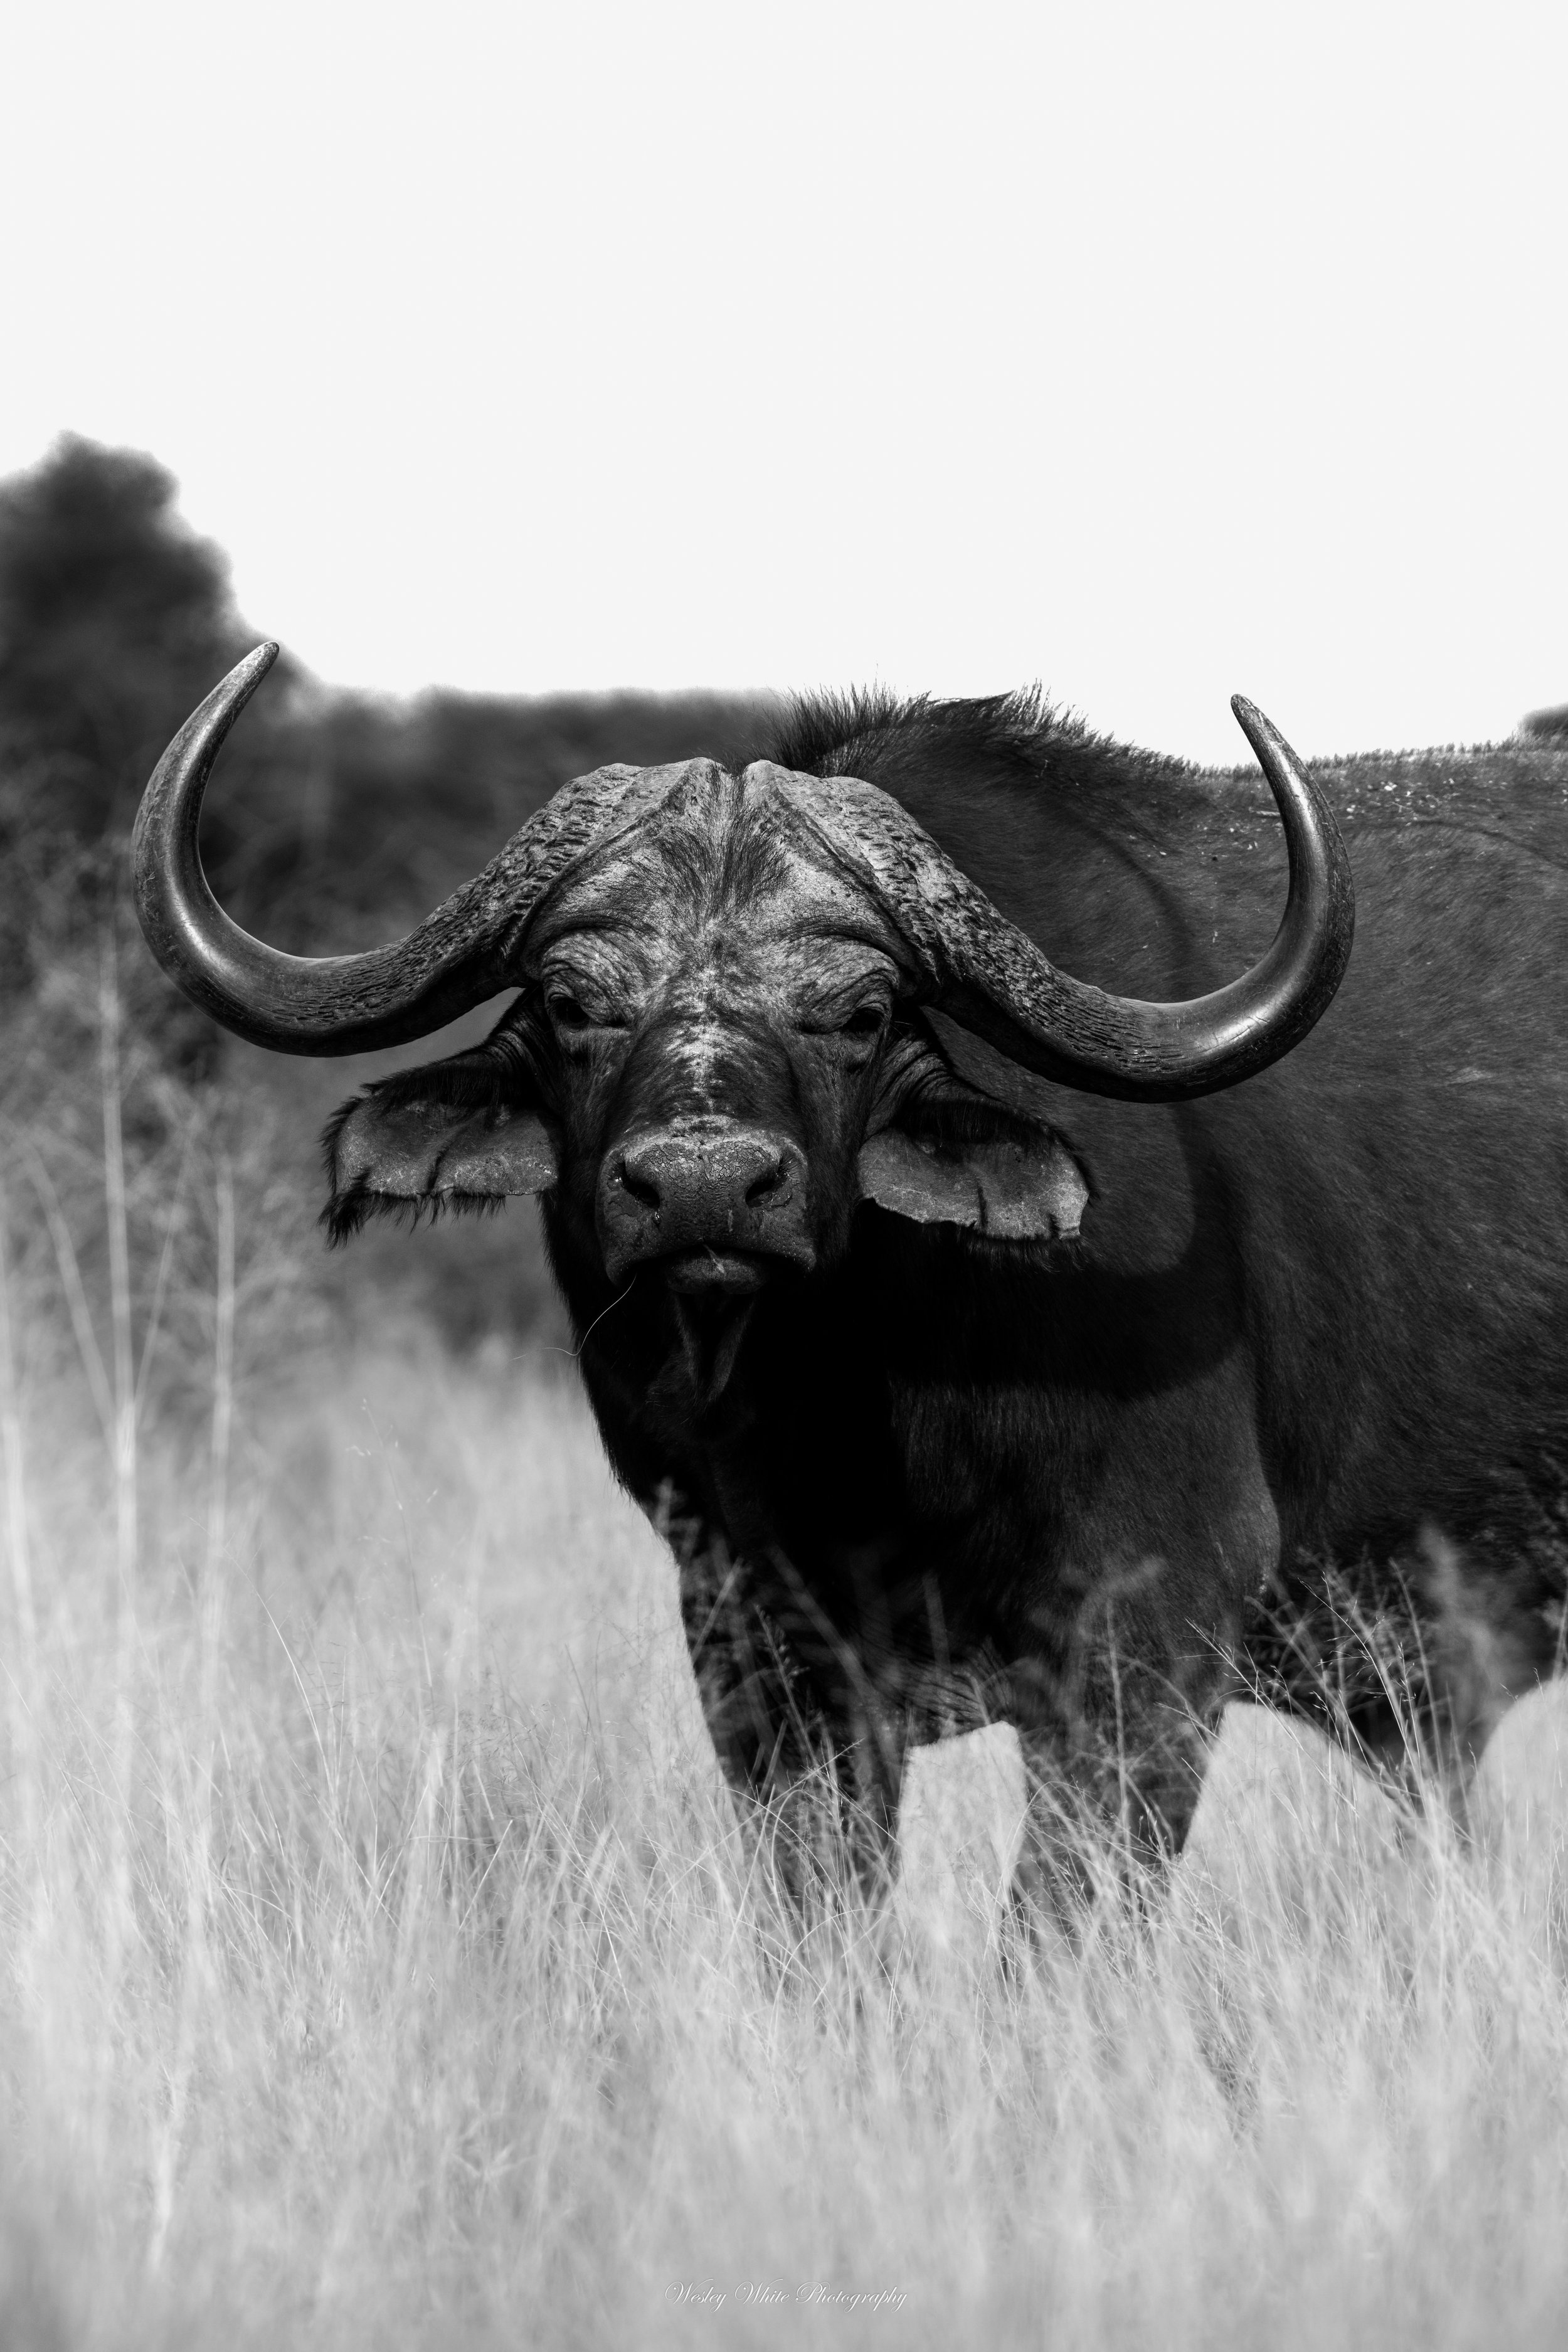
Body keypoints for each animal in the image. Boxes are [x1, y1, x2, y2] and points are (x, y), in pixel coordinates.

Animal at [133, 646, 1568, 1905]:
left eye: (860, 1014)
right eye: (572, 1003)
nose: (705, 1186)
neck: (847, 1413)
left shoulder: (1149, 1638)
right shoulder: (759, 1655)